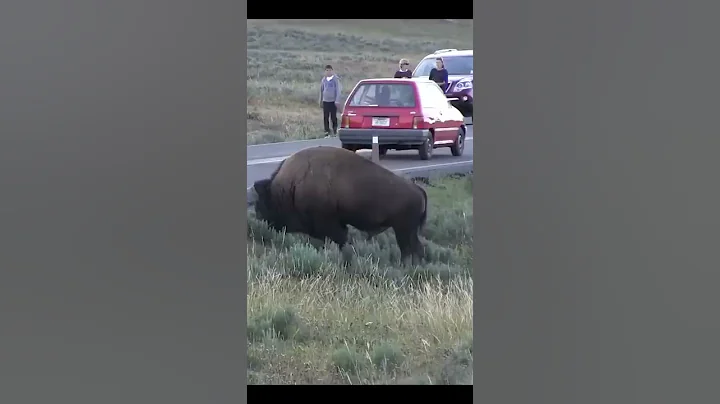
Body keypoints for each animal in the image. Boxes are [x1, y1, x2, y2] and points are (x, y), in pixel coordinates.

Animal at [248, 146, 428, 265]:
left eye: (263, 202)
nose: (260, 219)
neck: (291, 186)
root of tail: (417, 189)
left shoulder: (330, 225)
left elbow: (340, 239)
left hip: (403, 229)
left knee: (409, 249)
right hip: (407, 230)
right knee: (414, 249)